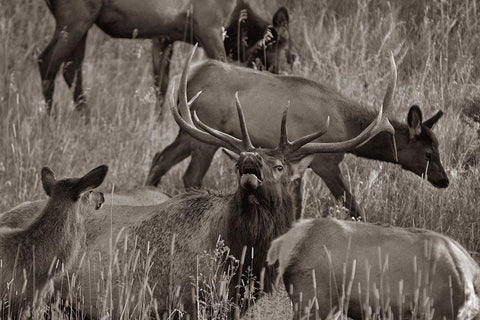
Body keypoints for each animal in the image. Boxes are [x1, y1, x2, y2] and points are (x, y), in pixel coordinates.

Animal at [38, 0, 292, 119]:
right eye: (289, 51)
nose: (286, 73)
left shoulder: (163, 37)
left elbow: (161, 85)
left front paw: (159, 122)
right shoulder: (210, 28)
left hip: (83, 22)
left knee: (71, 68)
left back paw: (86, 117)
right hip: (75, 18)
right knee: (46, 60)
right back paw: (50, 119)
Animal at [147, 46, 450, 220]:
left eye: (438, 147)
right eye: (428, 153)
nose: (444, 180)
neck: (344, 124)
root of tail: (186, 79)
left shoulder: (300, 167)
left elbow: (297, 205)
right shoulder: (326, 162)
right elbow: (353, 206)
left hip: (187, 133)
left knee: (160, 158)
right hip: (204, 135)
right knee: (190, 175)